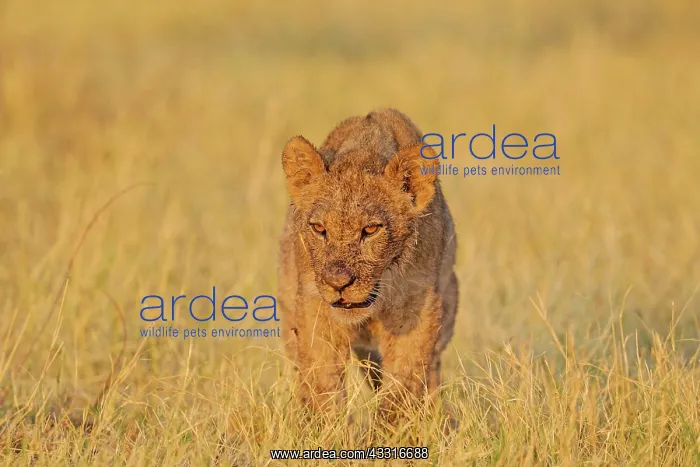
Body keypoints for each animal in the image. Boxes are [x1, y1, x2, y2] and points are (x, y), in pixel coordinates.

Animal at [278, 108, 458, 417]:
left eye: (371, 229)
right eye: (319, 228)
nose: (338, 284)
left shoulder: (417, 307)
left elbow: (403, 382)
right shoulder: (315, 307)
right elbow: (322, 379)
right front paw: (325, 425)